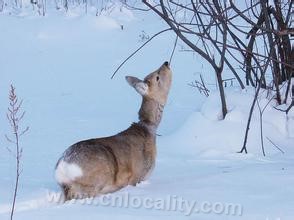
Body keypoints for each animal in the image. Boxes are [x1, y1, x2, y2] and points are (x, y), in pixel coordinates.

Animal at [55, 61, 172, 200]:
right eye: (157, 77)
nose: (166, 63)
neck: (148, 128)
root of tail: (62, 171)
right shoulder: (138, 176)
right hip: (94, 182)